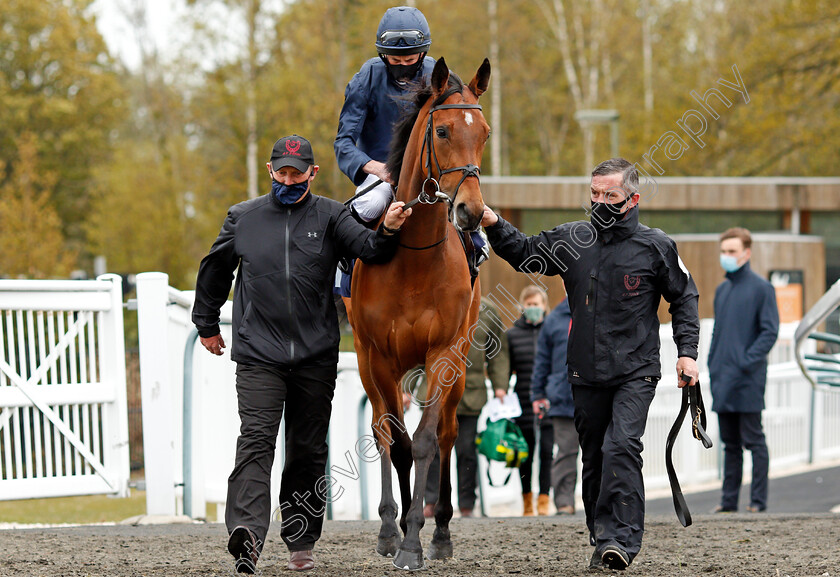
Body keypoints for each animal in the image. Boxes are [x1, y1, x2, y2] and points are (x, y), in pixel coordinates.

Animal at [348, 56, 492, 568]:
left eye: (485, 132)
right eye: (444, 131)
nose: (471, 211)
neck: (413, 257)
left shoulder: (445, 352)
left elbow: (429, 440)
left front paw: (418, 540)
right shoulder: (379, 357)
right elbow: (397, 441)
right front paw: (397, 534)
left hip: (460, 362)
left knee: (448, 433)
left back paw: (441, 530)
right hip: (365, 361)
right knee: (382, 432)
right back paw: (389, 528)